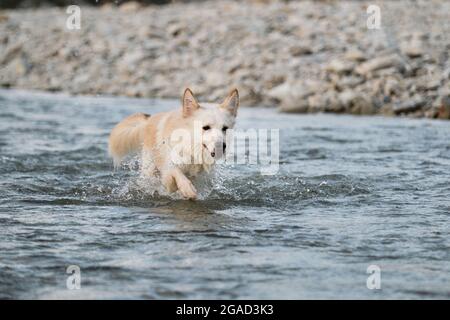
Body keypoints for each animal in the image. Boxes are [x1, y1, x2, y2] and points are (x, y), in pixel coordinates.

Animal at [109, 87, 239, 198]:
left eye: (225, 128)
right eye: (206, 127)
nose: (222, 146)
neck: (190, 148)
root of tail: (149, 119)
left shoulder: (201, 176)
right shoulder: (168, 162)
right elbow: (174, 174)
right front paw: (185, 188)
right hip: (149, 168)